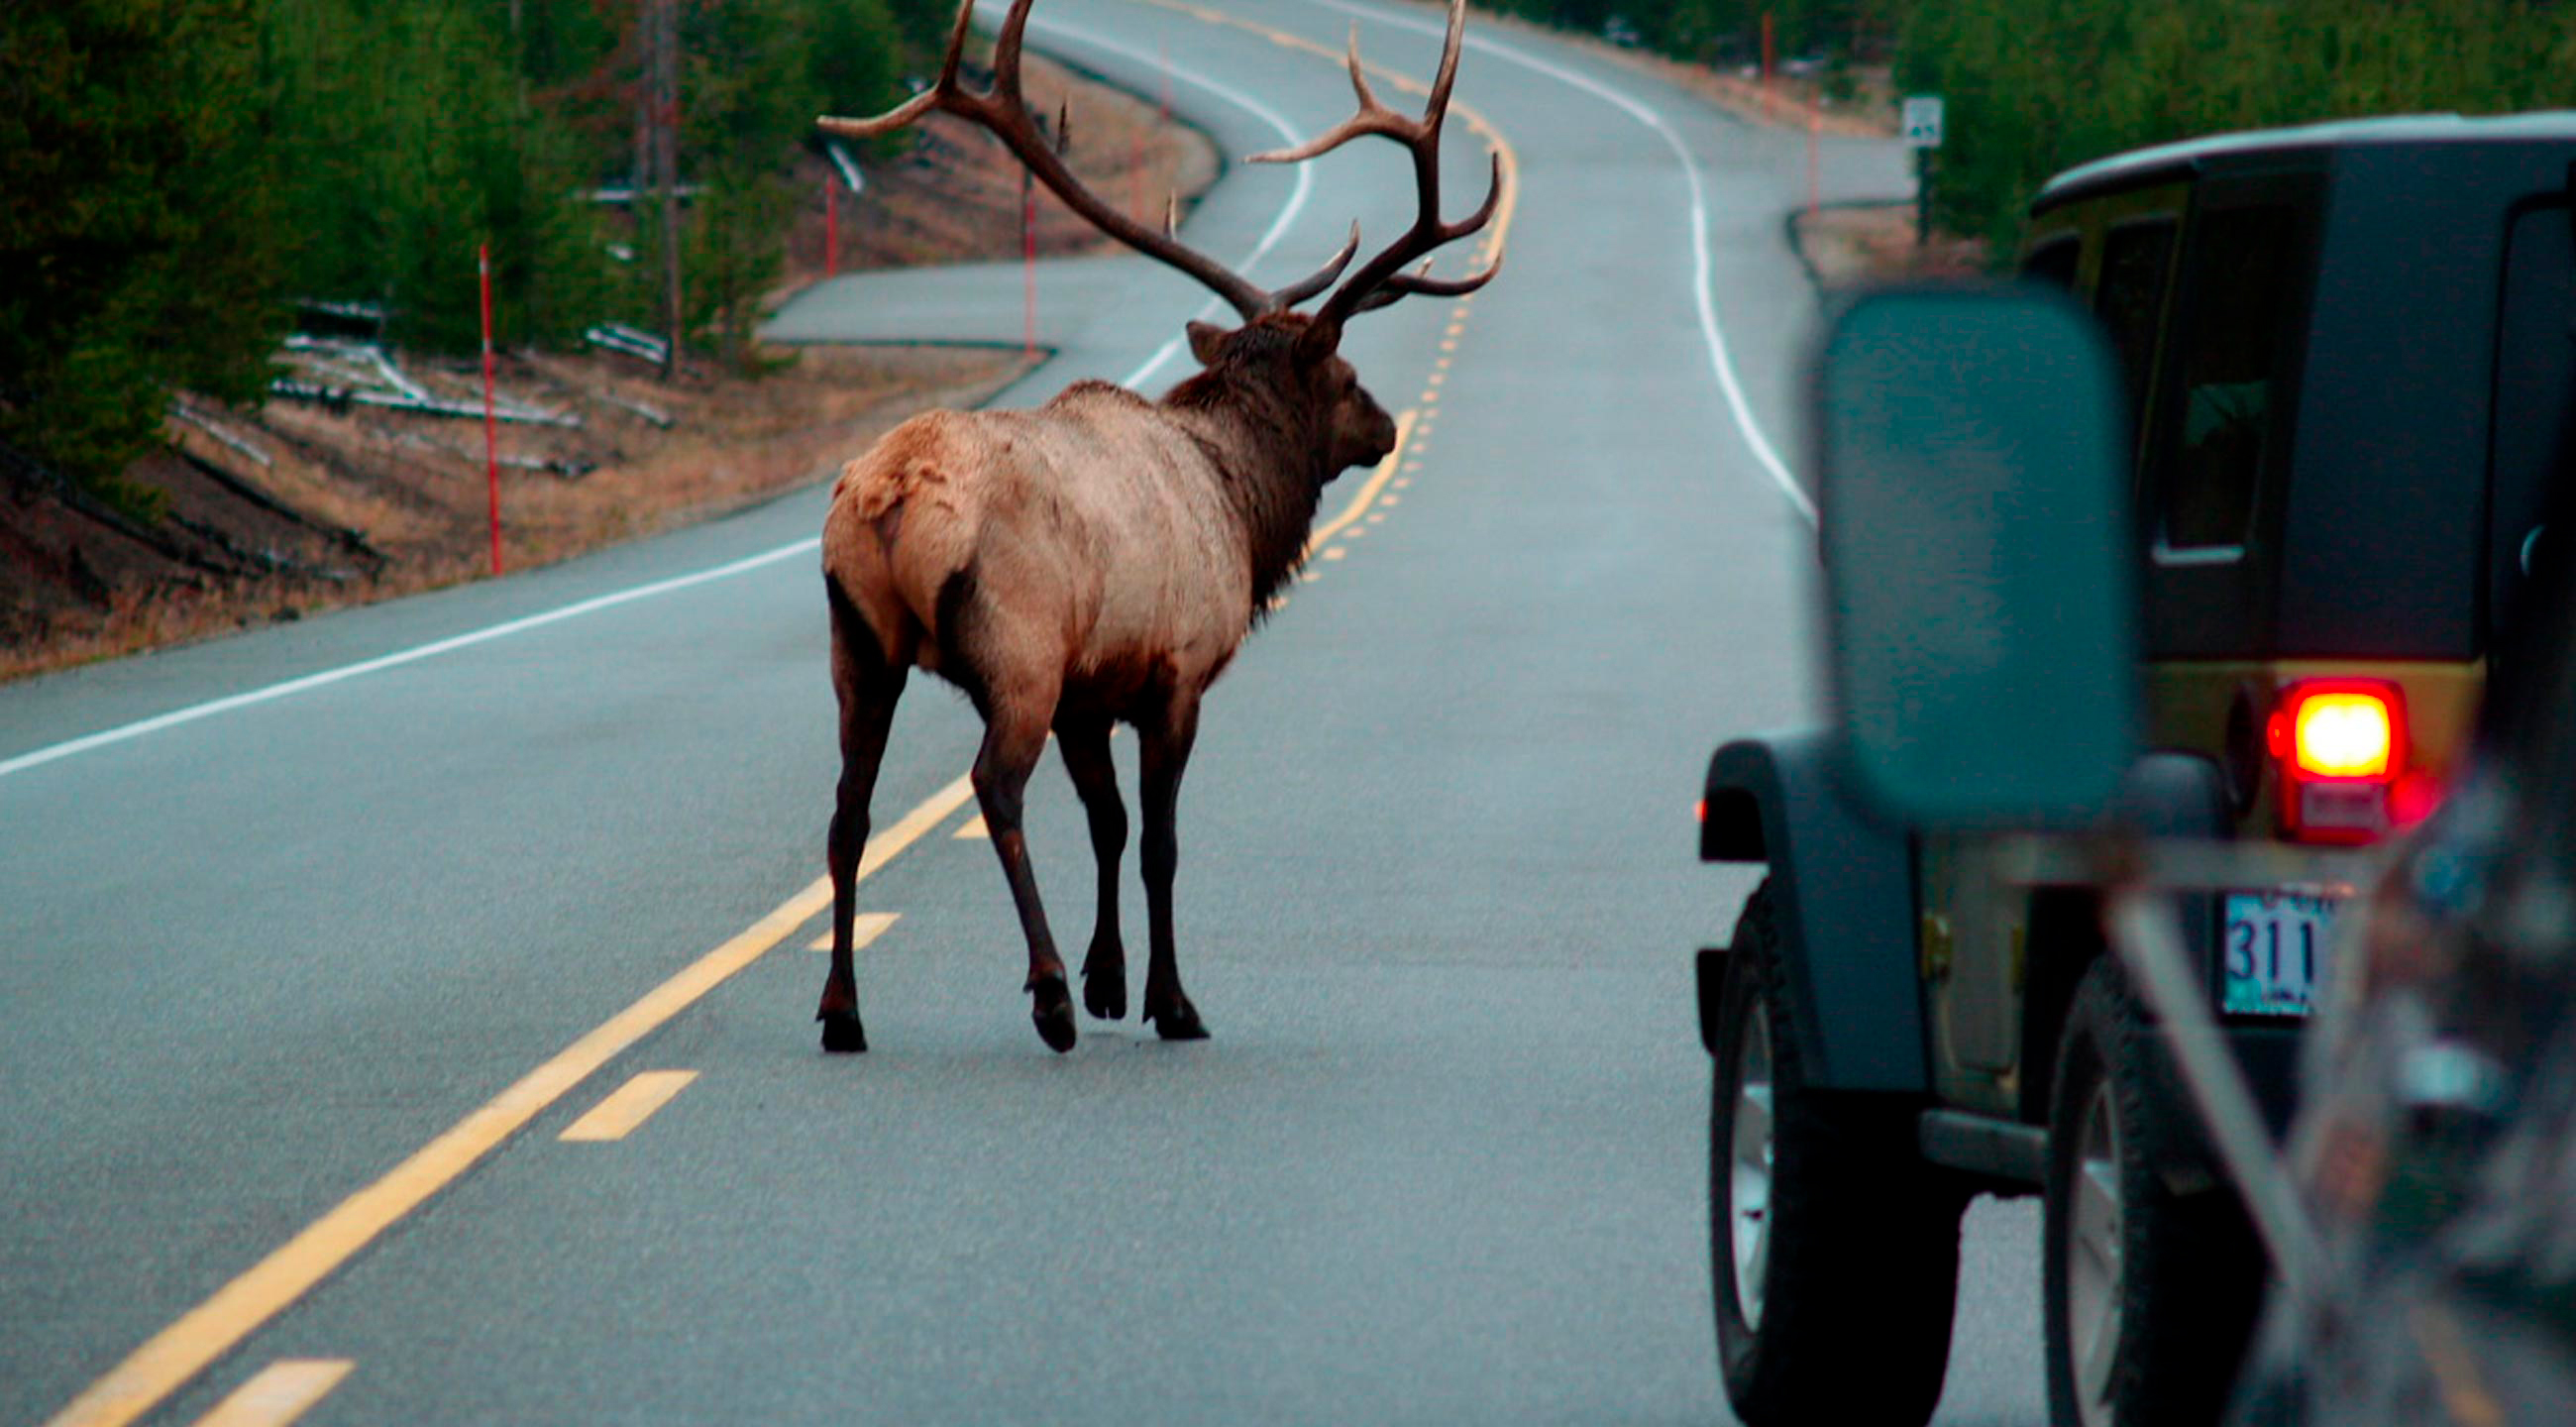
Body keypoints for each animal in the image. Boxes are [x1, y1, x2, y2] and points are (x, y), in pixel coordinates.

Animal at [804, 0, 1494, 1045]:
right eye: (1341, 374)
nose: (1386, 426)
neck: (1238, 501)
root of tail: (890, 497)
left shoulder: (1092, 693)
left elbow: (1110, 825)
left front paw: (1111, 979)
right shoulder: (1175, 672)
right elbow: (1161, 838)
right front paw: (1164, 999)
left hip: (860, 646)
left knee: (848, 811)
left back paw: (843, 1011)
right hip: (1019, 650)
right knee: (993, 788)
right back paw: (1045, 993)